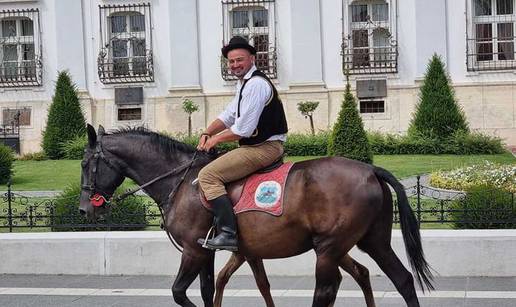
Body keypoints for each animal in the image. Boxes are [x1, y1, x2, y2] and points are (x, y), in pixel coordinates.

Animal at [79, 125, 432, 307]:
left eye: (85, 164)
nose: (84, 209)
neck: (180, 179)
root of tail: (370, 169)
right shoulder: (212, 253)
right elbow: (212, 289)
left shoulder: (193, 252)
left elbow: (179, 292)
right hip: (371, 241)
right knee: (401, 278)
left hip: (330, 247)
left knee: (328, 289)